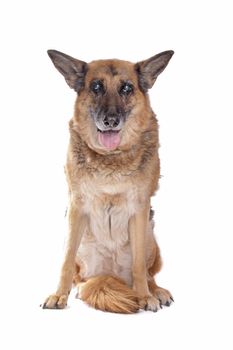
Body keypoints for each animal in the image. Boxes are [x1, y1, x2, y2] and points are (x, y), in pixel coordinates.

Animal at [41, 48, 174, 312]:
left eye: (126, 88)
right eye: (96, 87)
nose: (111, 121)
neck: (111, 158)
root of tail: (112, 275)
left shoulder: (139, 209)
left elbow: (139, 267)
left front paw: (144, 296)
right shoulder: (76, 207)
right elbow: (66, 261)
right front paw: (59, 295)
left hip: (149, 235)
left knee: (147, 272)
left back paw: (155, 291)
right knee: (81, 278)